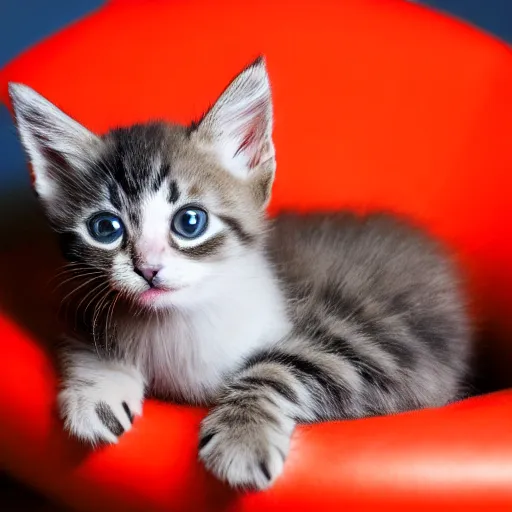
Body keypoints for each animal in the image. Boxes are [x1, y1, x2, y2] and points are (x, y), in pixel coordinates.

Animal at [10, 58, 470, 490]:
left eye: (190, 222)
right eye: (105, 228)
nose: (148, 268)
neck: (178, 325)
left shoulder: (350, 344)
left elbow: (283, 367)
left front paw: (242, 435)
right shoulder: (83, 298)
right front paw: (98, 390)